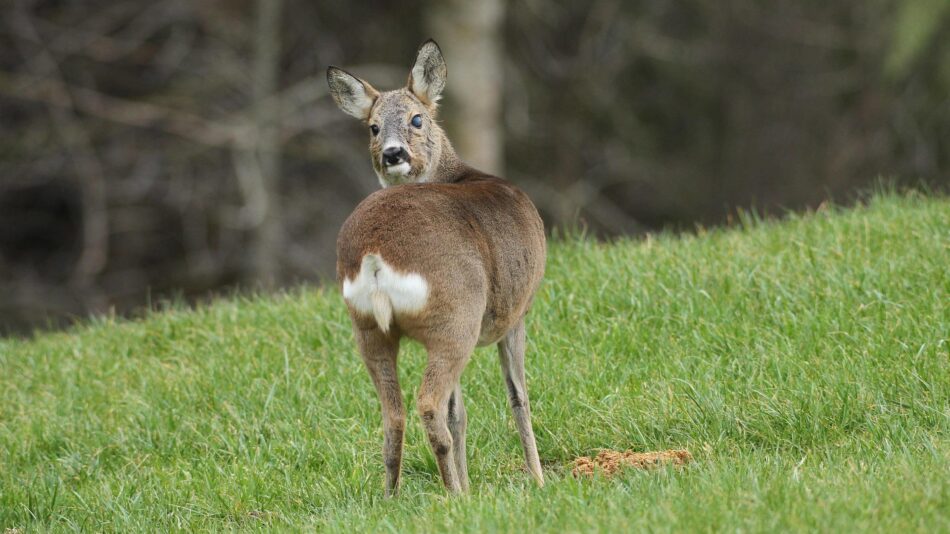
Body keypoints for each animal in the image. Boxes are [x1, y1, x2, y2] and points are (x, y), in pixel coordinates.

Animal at [330, 39, 548, 496]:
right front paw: (538, 480)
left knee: (393, 415)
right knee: (429, 404)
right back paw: (455, 496)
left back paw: (394, 498)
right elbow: (517, 396)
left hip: (367, 328)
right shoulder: (517, 312)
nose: (394, 153)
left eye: (416, 118)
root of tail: (375, 254)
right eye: (373, 127)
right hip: (456, 318)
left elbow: (460, 411)